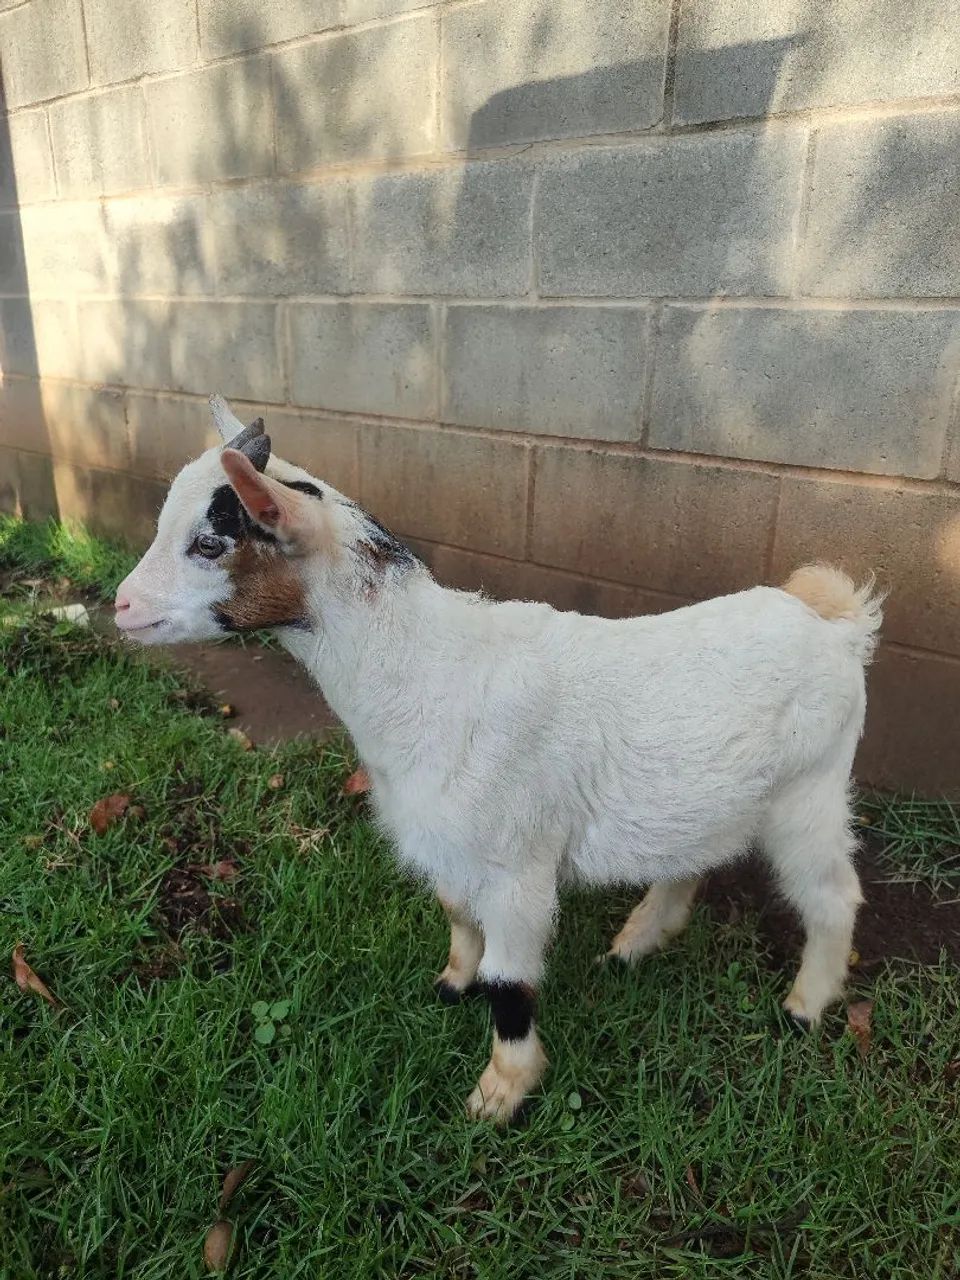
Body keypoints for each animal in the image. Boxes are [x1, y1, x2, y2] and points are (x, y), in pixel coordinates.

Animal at [115, 397, 883, 1122]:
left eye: (209, 542)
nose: (121, 606)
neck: (429, 671)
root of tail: (835, 619)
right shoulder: (449, 843)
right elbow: (457, 913)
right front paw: (452, 984)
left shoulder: (519, 866)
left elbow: (511, 982)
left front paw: (501, 1094)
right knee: (691, 859)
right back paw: (635, 943)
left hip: (810, 793)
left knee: (833, 895)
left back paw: (804, 1007)